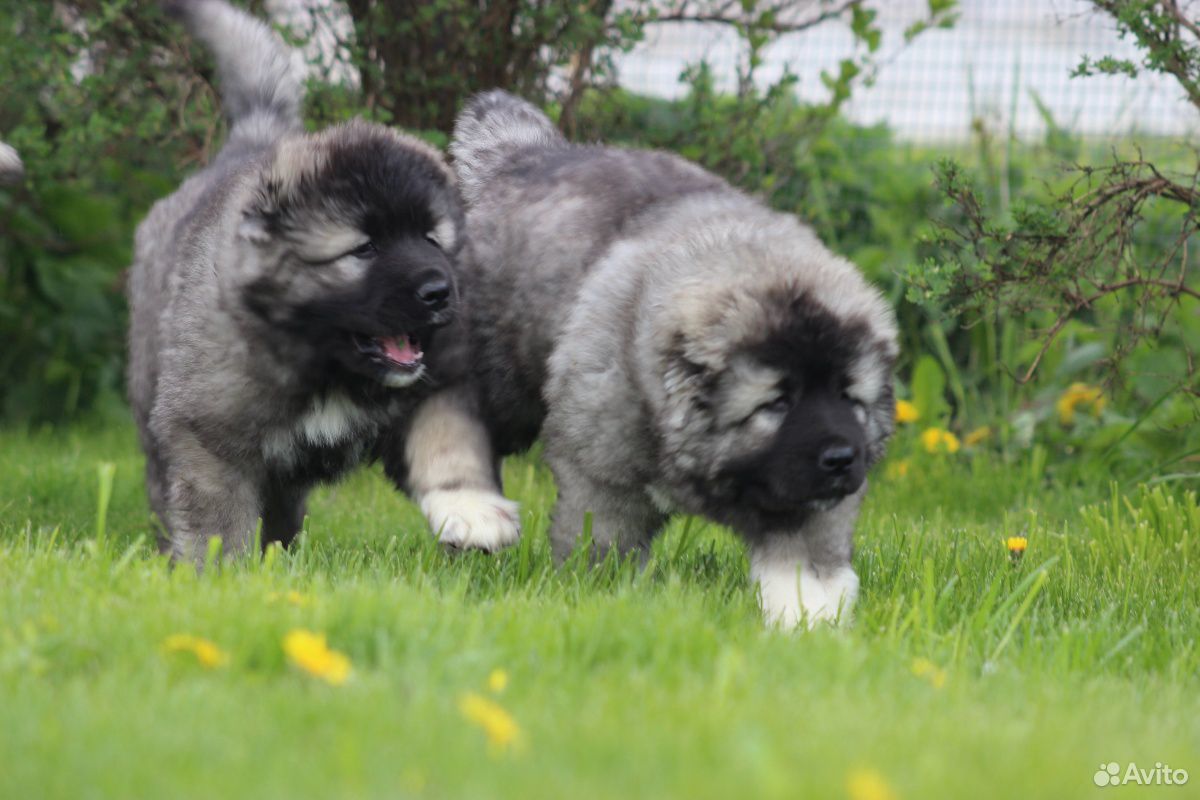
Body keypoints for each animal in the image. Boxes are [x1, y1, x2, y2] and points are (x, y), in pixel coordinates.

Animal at [129, 0, 518, 563]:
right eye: (365, 248)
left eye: (432, 238)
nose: (439, 292)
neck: (331, 368)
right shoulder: (209, 433)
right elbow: (217, 517)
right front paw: (220, 574)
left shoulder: (436, 384)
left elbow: (448, 442)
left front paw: (471, 511)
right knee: (168, 490)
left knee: (283, 511)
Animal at [412, 92, 892, 623]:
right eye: (777, 403)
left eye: (849, 397)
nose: (842, 458)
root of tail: (527, 155)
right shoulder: (601, 472)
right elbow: (602, 540)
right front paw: (597, 595)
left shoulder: (808, 498)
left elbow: (807, 563)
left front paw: (812, 622)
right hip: (497, 371)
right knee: (449, 422)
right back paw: (470, 515)